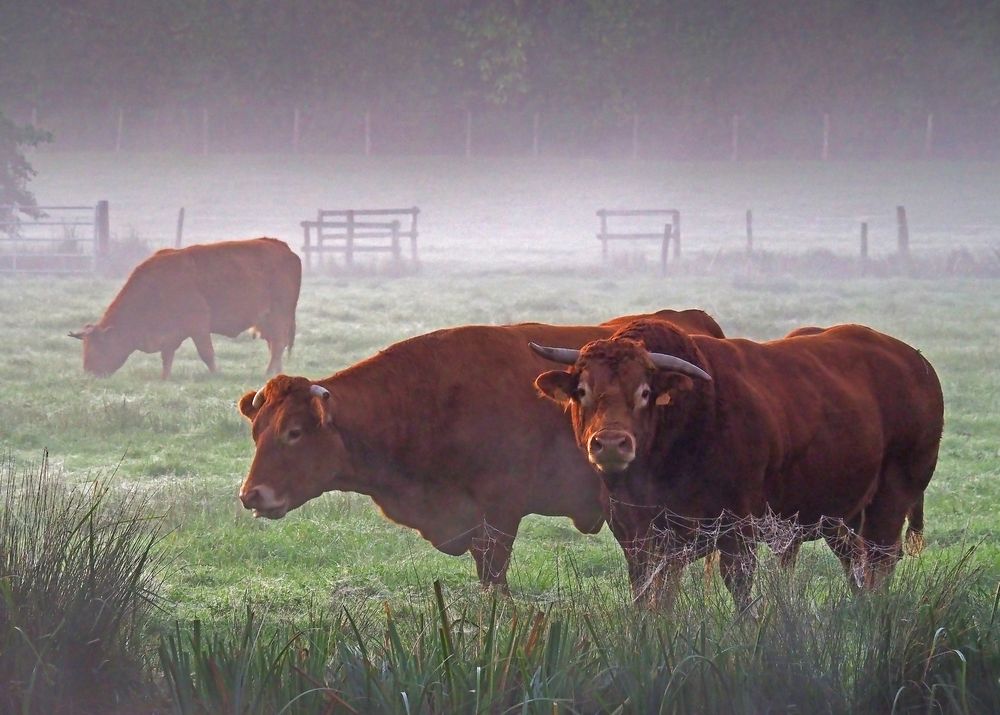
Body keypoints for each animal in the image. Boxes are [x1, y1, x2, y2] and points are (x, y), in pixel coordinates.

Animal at [536, 322, 940, 608]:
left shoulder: (736, 530)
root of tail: (917, 362)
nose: (610, 444)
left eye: (645, 392)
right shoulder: (639, 536)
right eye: (583, 391)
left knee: (880, 560)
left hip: (891, 499)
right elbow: (651, 595)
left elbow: (740, 590)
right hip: (840, 515)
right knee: (854, 561)